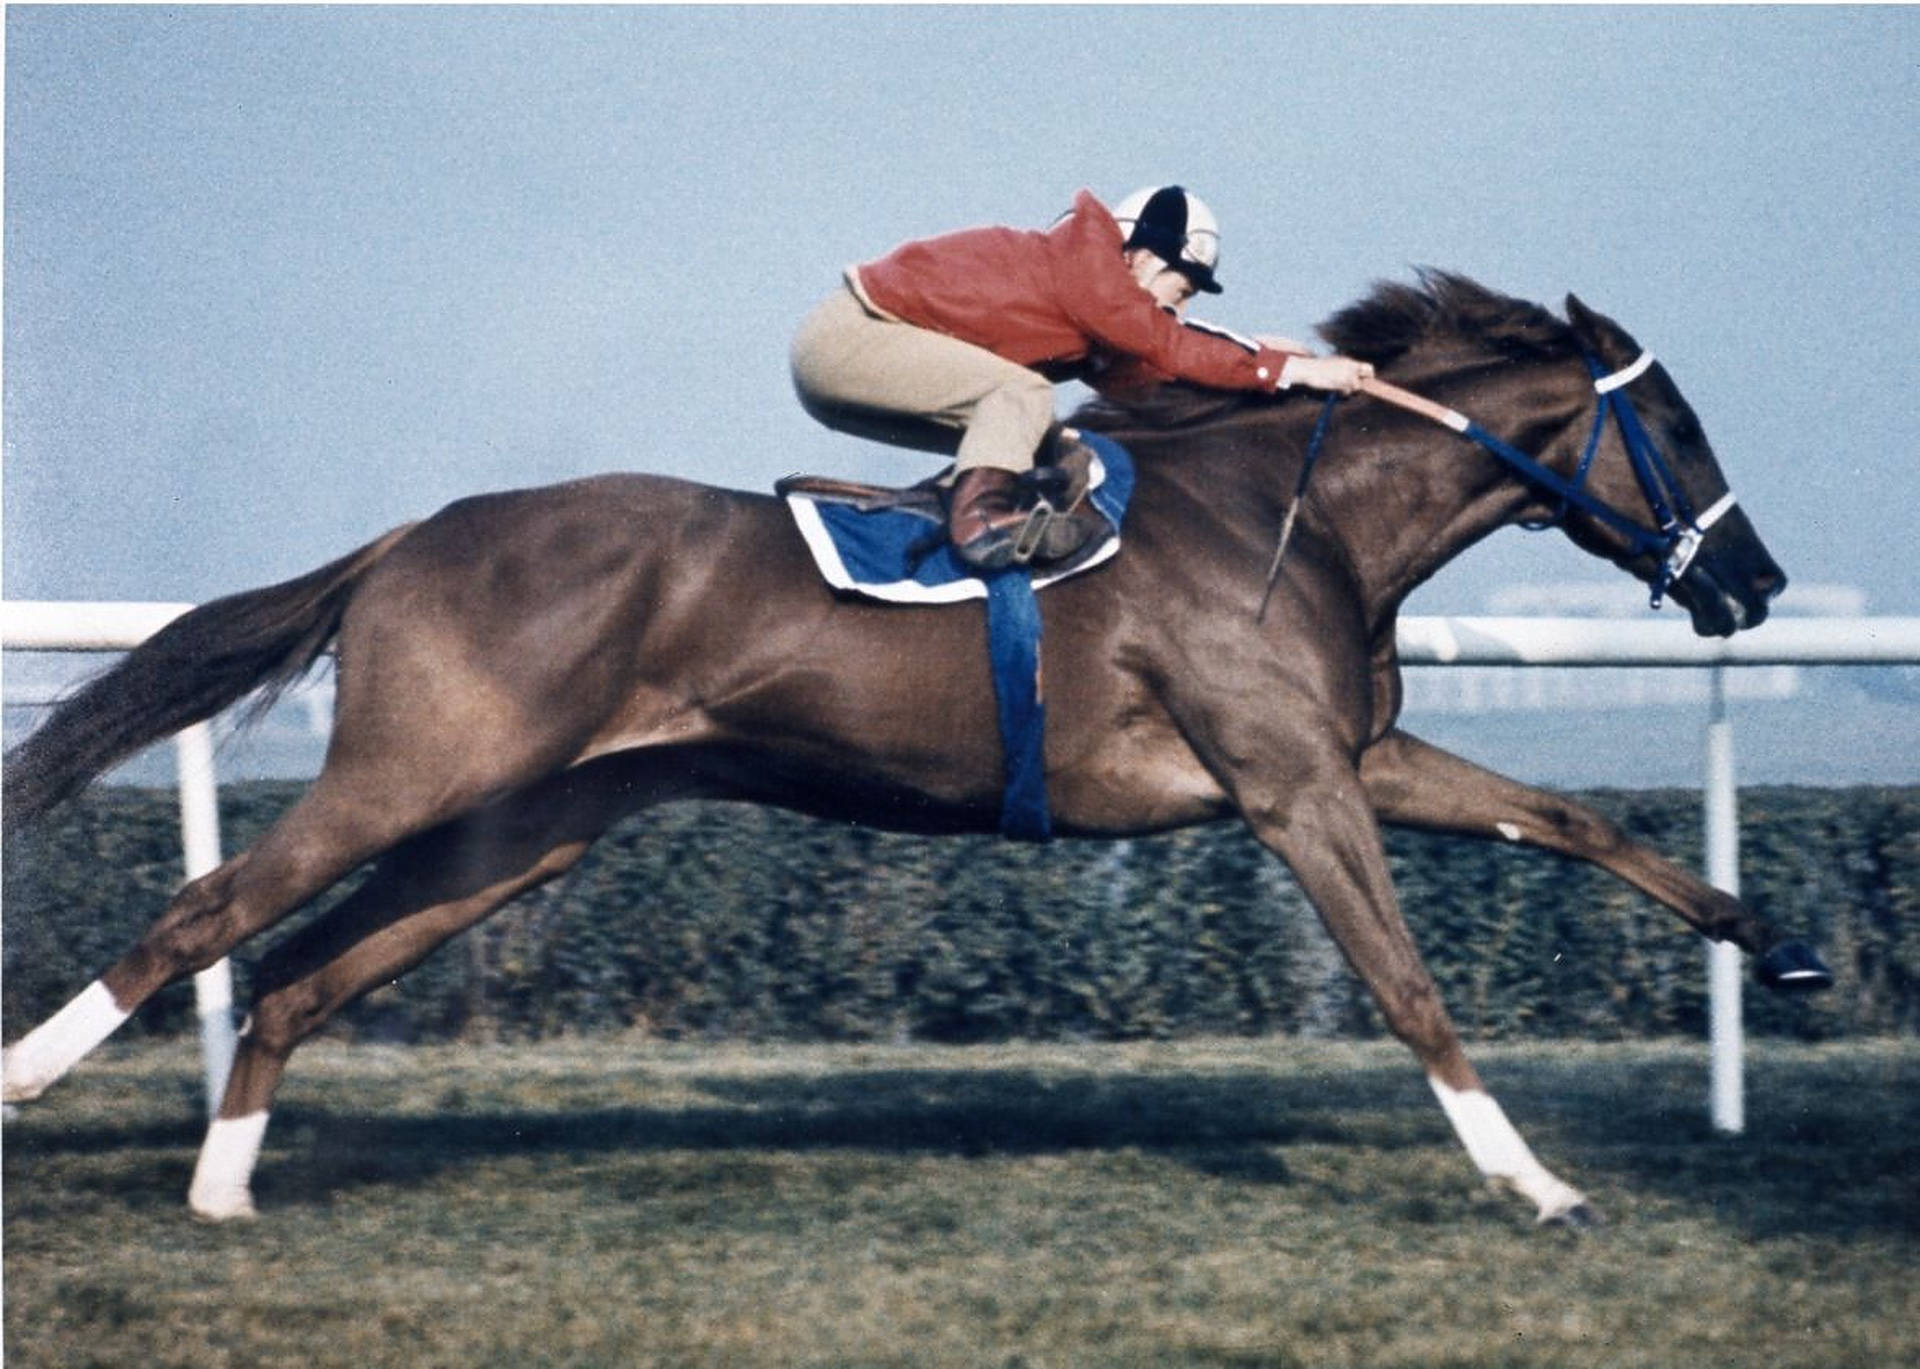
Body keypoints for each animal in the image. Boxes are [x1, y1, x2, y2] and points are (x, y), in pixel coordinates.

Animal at [2, 271, 1830, 1226]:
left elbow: (1577, 822)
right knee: (207, 917)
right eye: (1675, 427)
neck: (1292, 517)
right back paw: (33, 1082)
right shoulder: (1290, 784)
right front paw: (1534, 1182)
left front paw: (1782, 944)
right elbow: (1409, 984)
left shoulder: (1350, 761)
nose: (1755, 583)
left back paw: (225, 1191)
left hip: (526, 827)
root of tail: (408, 537)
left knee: (297, 971)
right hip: (419, 771)